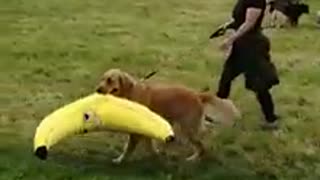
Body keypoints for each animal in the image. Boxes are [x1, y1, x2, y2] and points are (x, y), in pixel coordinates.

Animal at [95, 68, 240, 164]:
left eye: (110, 80)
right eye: (102, 79)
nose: (98, 89)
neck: (130, 93)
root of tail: (197, 95)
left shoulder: (135, 133)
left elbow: (128, 149)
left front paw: (119, 160)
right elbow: (150, 146)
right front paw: (155, 156)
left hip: (188, 129)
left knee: (201, 147)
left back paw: (192, 160)